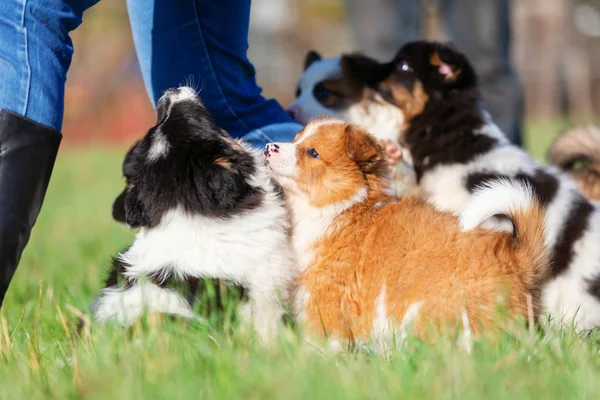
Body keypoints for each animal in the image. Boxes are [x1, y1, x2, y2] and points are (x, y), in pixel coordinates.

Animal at [264, 119, 548, 350]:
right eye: (296, 139)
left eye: (313, 152)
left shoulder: (326, 298)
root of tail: (515, 255)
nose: (269, 147)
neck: (341, 207)